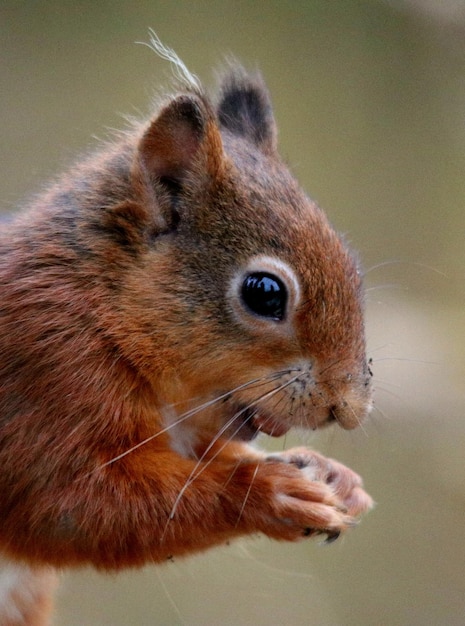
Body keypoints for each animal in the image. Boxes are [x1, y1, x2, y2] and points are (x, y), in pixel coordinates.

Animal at [0, 40, 372, 624]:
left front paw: (334, 477)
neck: (101, 306)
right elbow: (70, 510)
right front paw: (268, 491)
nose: (349, 408)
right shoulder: (43, 378)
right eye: (265, 293)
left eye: (352, 265)